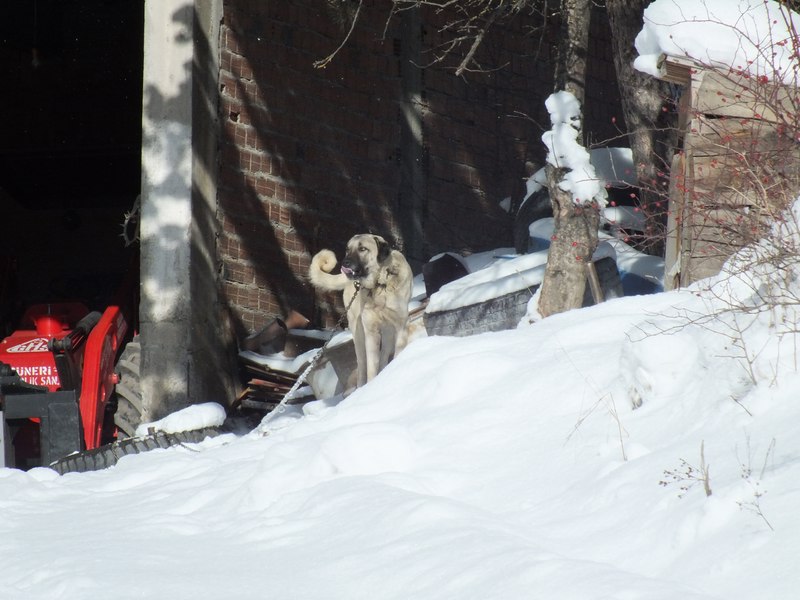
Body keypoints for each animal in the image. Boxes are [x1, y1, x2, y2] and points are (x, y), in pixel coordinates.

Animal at [310, 232, 416, 386]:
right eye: (348, 249)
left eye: (363, 249)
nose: (344, 263)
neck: (380, 284)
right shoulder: (370, 332)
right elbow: (371, 366)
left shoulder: (401, 326)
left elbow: (395, 355)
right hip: (358, 332)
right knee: (362, 364)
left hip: (388, 332)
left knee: (384, 355)